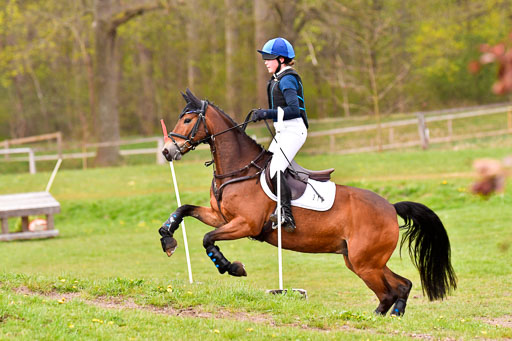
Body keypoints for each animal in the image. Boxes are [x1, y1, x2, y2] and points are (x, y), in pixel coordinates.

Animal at [158, 89, 458, 314]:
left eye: (187, 121)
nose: (167, 151)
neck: (238, 169)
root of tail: (390, 208)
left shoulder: (245, 224)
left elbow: (208, 238)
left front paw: (231, 267)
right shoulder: (221, 216)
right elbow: (184, 209)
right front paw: (167, 239)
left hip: (365, 263)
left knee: (388, 292)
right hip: (362, 260)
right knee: (401, 285)